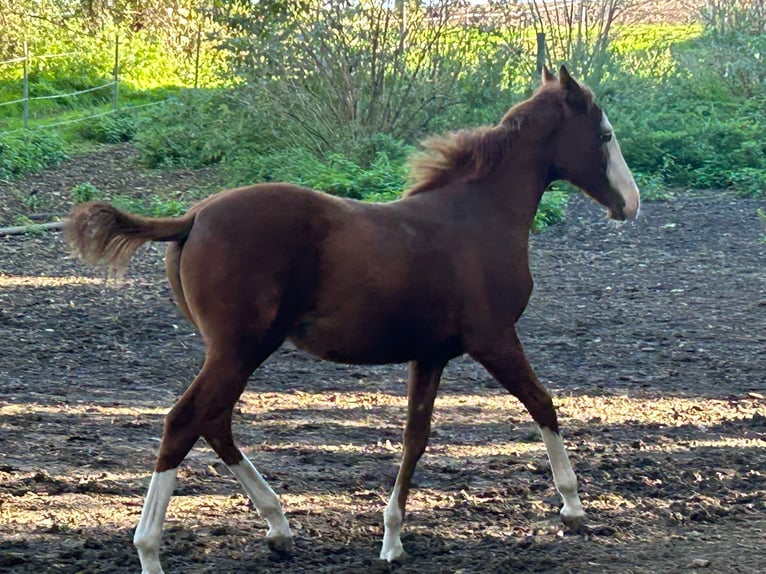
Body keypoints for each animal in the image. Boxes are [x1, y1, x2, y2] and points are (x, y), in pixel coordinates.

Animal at [67, 66, 640, 572]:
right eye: (605, 134)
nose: (630, 204)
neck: (478, 215)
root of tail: (192, 217)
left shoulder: (431, 354)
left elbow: (415, 436)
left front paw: (392, 540)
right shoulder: (493, 338)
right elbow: (542, 403)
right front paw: (573, 507)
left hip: (238, 351)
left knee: (214, 421)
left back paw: (278, 527)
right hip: (239, 348)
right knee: (186, 421)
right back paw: (151, 551)